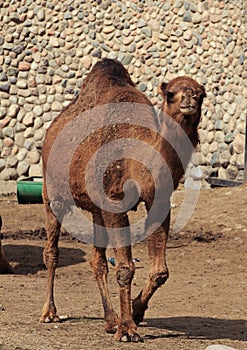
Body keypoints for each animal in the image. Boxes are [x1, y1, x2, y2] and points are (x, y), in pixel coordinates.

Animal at [40, 58, 206, 344]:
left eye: (200, 94)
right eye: (170, 94)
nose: (189, 100)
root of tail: (52, 131)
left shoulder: (158, 201)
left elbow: (160, 271)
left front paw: (136, 313)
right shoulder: (114, 199)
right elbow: (125, 267)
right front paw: (128, 329)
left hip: (95, 207)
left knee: (97, 260)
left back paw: (109, 320)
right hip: (52, 193)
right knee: (52, 251)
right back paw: (50, 313)